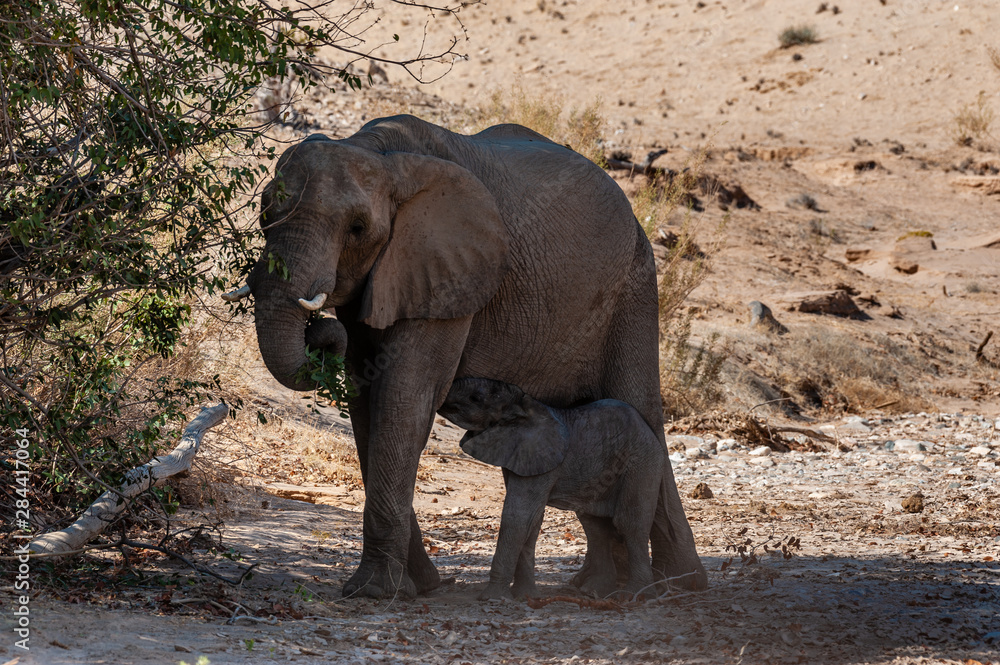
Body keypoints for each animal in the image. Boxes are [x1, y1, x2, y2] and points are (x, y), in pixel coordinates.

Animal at [439, 378, 664, 600]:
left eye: (475, 398)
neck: (523, 403)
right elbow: (532, 520)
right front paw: (527, 597)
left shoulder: (541, 459)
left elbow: (519, 516)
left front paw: (493, 598)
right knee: (594, 526)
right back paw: (594, 592)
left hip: (642, 463)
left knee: (629, 524)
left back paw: (636, 595)